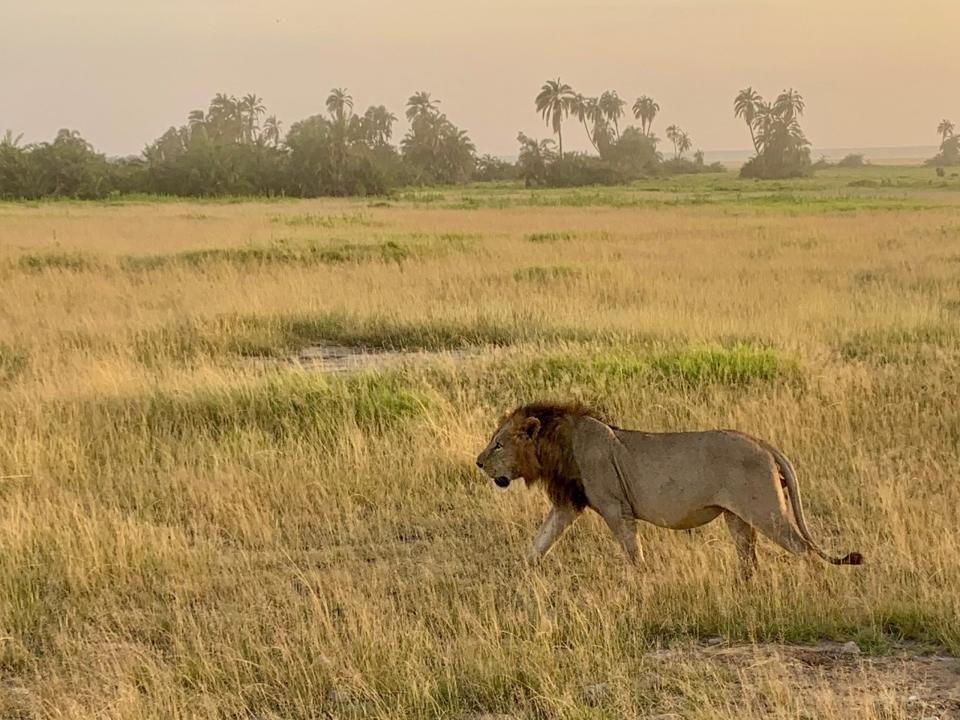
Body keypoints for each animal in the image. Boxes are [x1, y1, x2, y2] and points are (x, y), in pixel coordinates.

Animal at [478, 400, 864, 572]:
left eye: (498, 444)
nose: (478, 462)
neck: (559, 444)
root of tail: (763, 443)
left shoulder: (616, 507)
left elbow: (632, 550)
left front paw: (641, 580)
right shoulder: (568, 504)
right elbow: (541, 540)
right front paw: (522, 571)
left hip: (766, 511)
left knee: (805, 551)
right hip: (737, 517)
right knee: (749, 560)